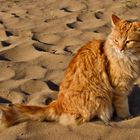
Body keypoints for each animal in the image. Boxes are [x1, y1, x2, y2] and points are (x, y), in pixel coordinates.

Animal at [0, 14, 140, 129]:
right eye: (116, 41)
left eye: (128, 42)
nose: (120, 49)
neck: (130, 58)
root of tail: (58, 104)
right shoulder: (119, 87)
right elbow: (122, 105)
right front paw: (126, 117)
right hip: (99, 97)